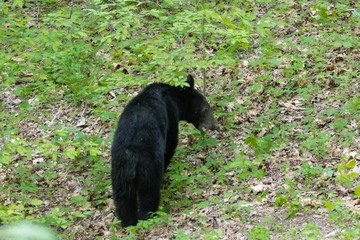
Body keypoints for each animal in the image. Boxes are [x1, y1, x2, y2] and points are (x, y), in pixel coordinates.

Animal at [111, 75, 215, 227]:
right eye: (205, 108)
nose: (214, 125)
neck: (172, 96)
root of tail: (132, 156)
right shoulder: (170, 115)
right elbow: (171, 142)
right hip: (148, 168)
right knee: (149, 194)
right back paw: (147, 216)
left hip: (120, 172)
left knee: (123, 199)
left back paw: (128, 223)